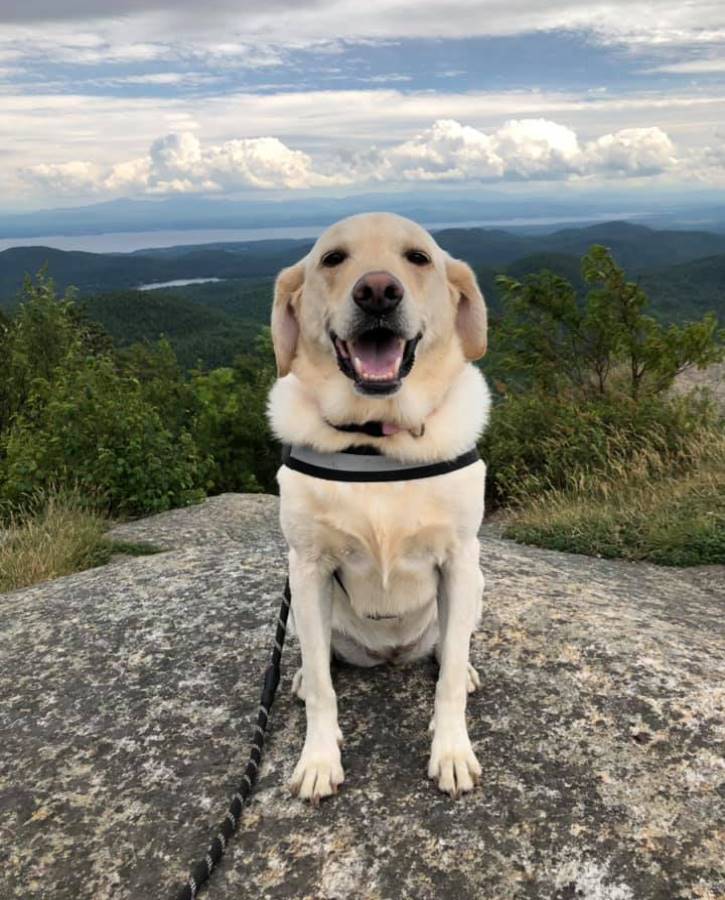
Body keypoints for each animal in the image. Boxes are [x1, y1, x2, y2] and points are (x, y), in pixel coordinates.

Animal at [268, 211, 492, 800]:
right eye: (332, 259)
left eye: (418, 258)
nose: (376, 291)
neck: (376, 438)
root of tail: (387, 654)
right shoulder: (307, 568)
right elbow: (325, 688)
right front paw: (318, 759)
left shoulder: (460, 561)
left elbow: (448, 679)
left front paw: (451, 751)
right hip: (297, 610)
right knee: (318, 659)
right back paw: (300, 677)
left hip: (477, 588)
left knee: (450, 650)